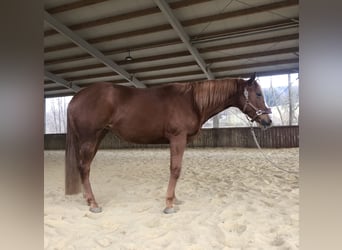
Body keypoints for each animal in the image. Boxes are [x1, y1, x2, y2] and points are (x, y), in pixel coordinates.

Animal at [65, 73, 272, 214]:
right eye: (258, 93)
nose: (268, 121)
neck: (192, 101)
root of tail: (76, 98)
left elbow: (176, 169)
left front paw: (175, 199)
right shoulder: (177, 138)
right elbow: (175, 169)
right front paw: (169, 204)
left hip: (97, 137)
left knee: (84, 167)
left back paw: (87, 198)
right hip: (90, 138)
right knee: (84, 167)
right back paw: (93, 204)